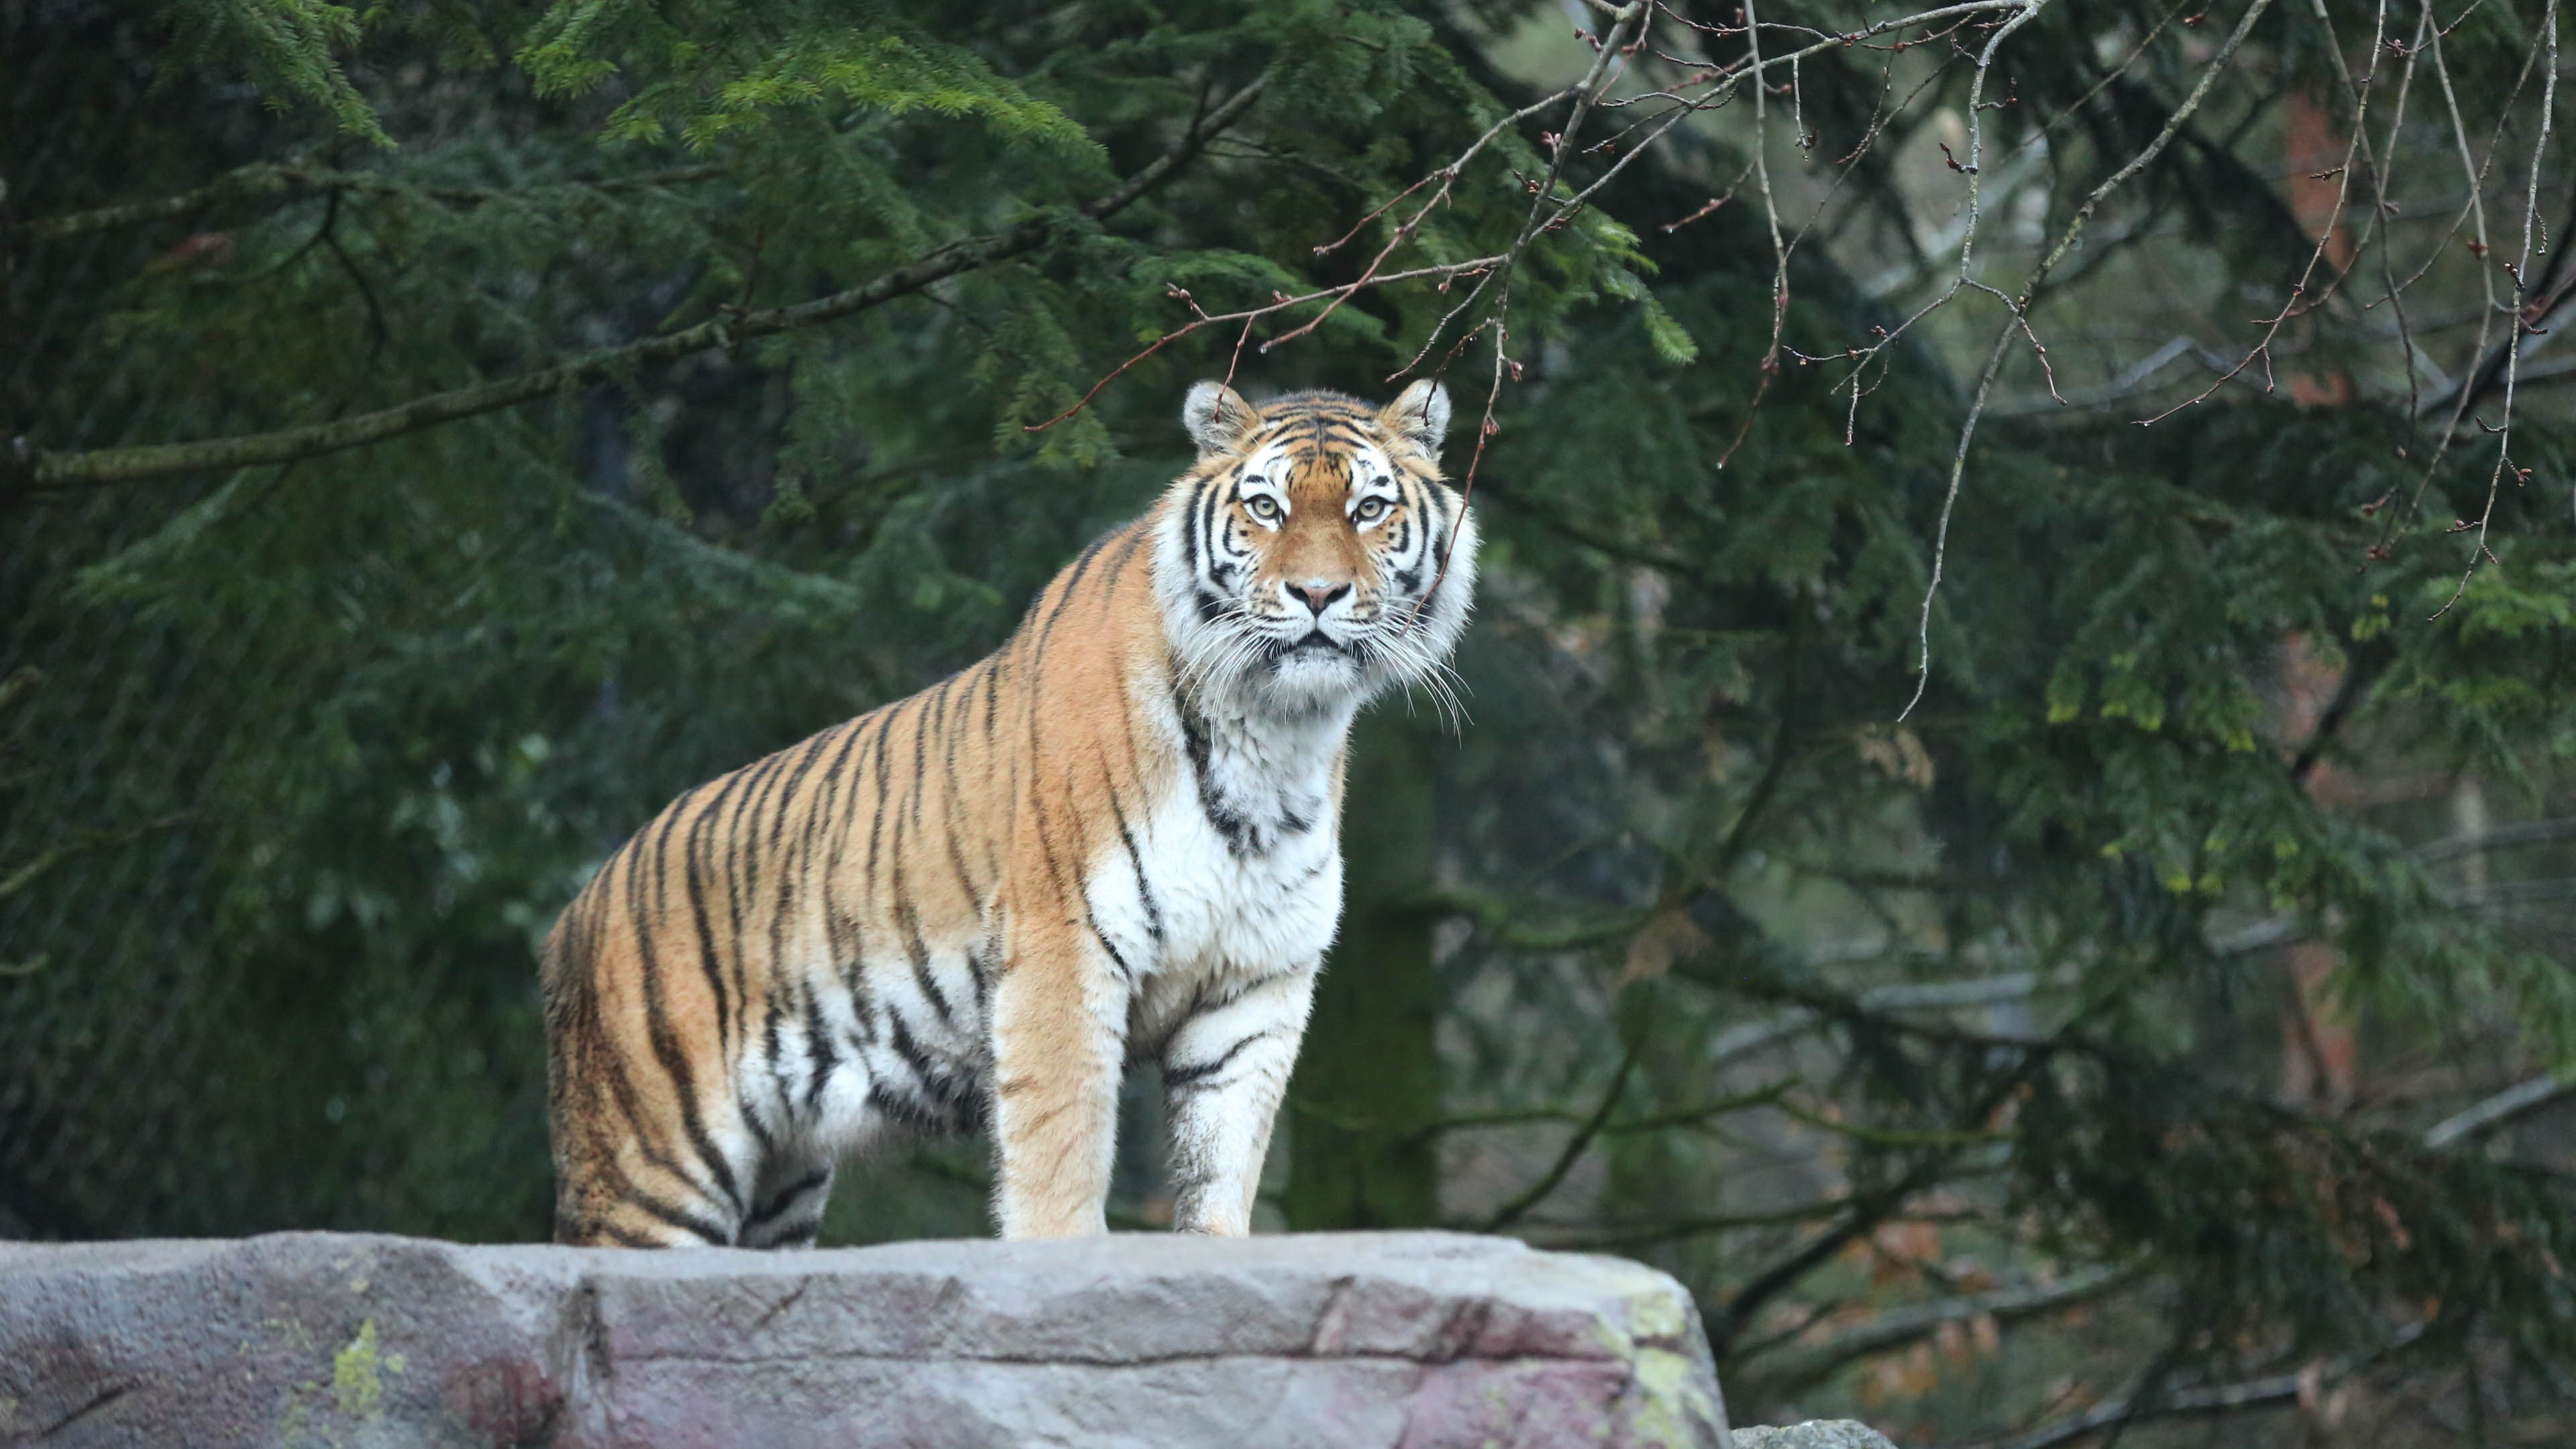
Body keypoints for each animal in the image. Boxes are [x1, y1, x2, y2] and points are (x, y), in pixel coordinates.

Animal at [533, 374, 1483, 1242]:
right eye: (1265, 507)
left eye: (1368, 509)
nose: (1318, 595)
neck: (1278, 734)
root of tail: (577, 907)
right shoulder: (1064, 950)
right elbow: (1062, 1159)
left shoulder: (1254, 992)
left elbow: (1220, 1179)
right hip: (655, 1170)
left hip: (781, 1184)